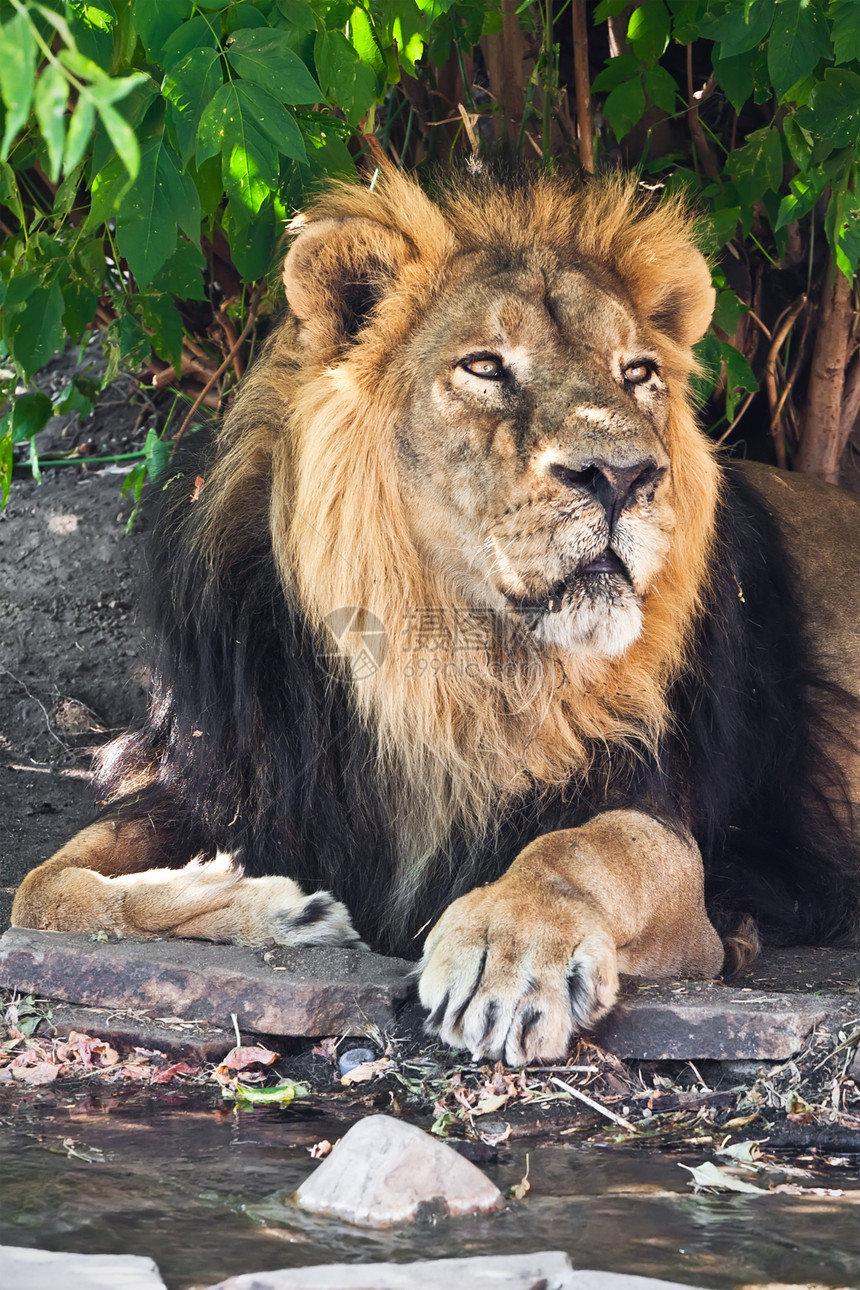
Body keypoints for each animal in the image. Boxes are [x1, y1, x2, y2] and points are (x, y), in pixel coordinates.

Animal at [13, 166, 860, 1062]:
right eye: (485, 366)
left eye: (637, 373)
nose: (625, 477)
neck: (448, 661)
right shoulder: (223, 780)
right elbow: (45, 888)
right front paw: (280, 909)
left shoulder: (659, 818)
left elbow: (584, 850)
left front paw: (509, 954)